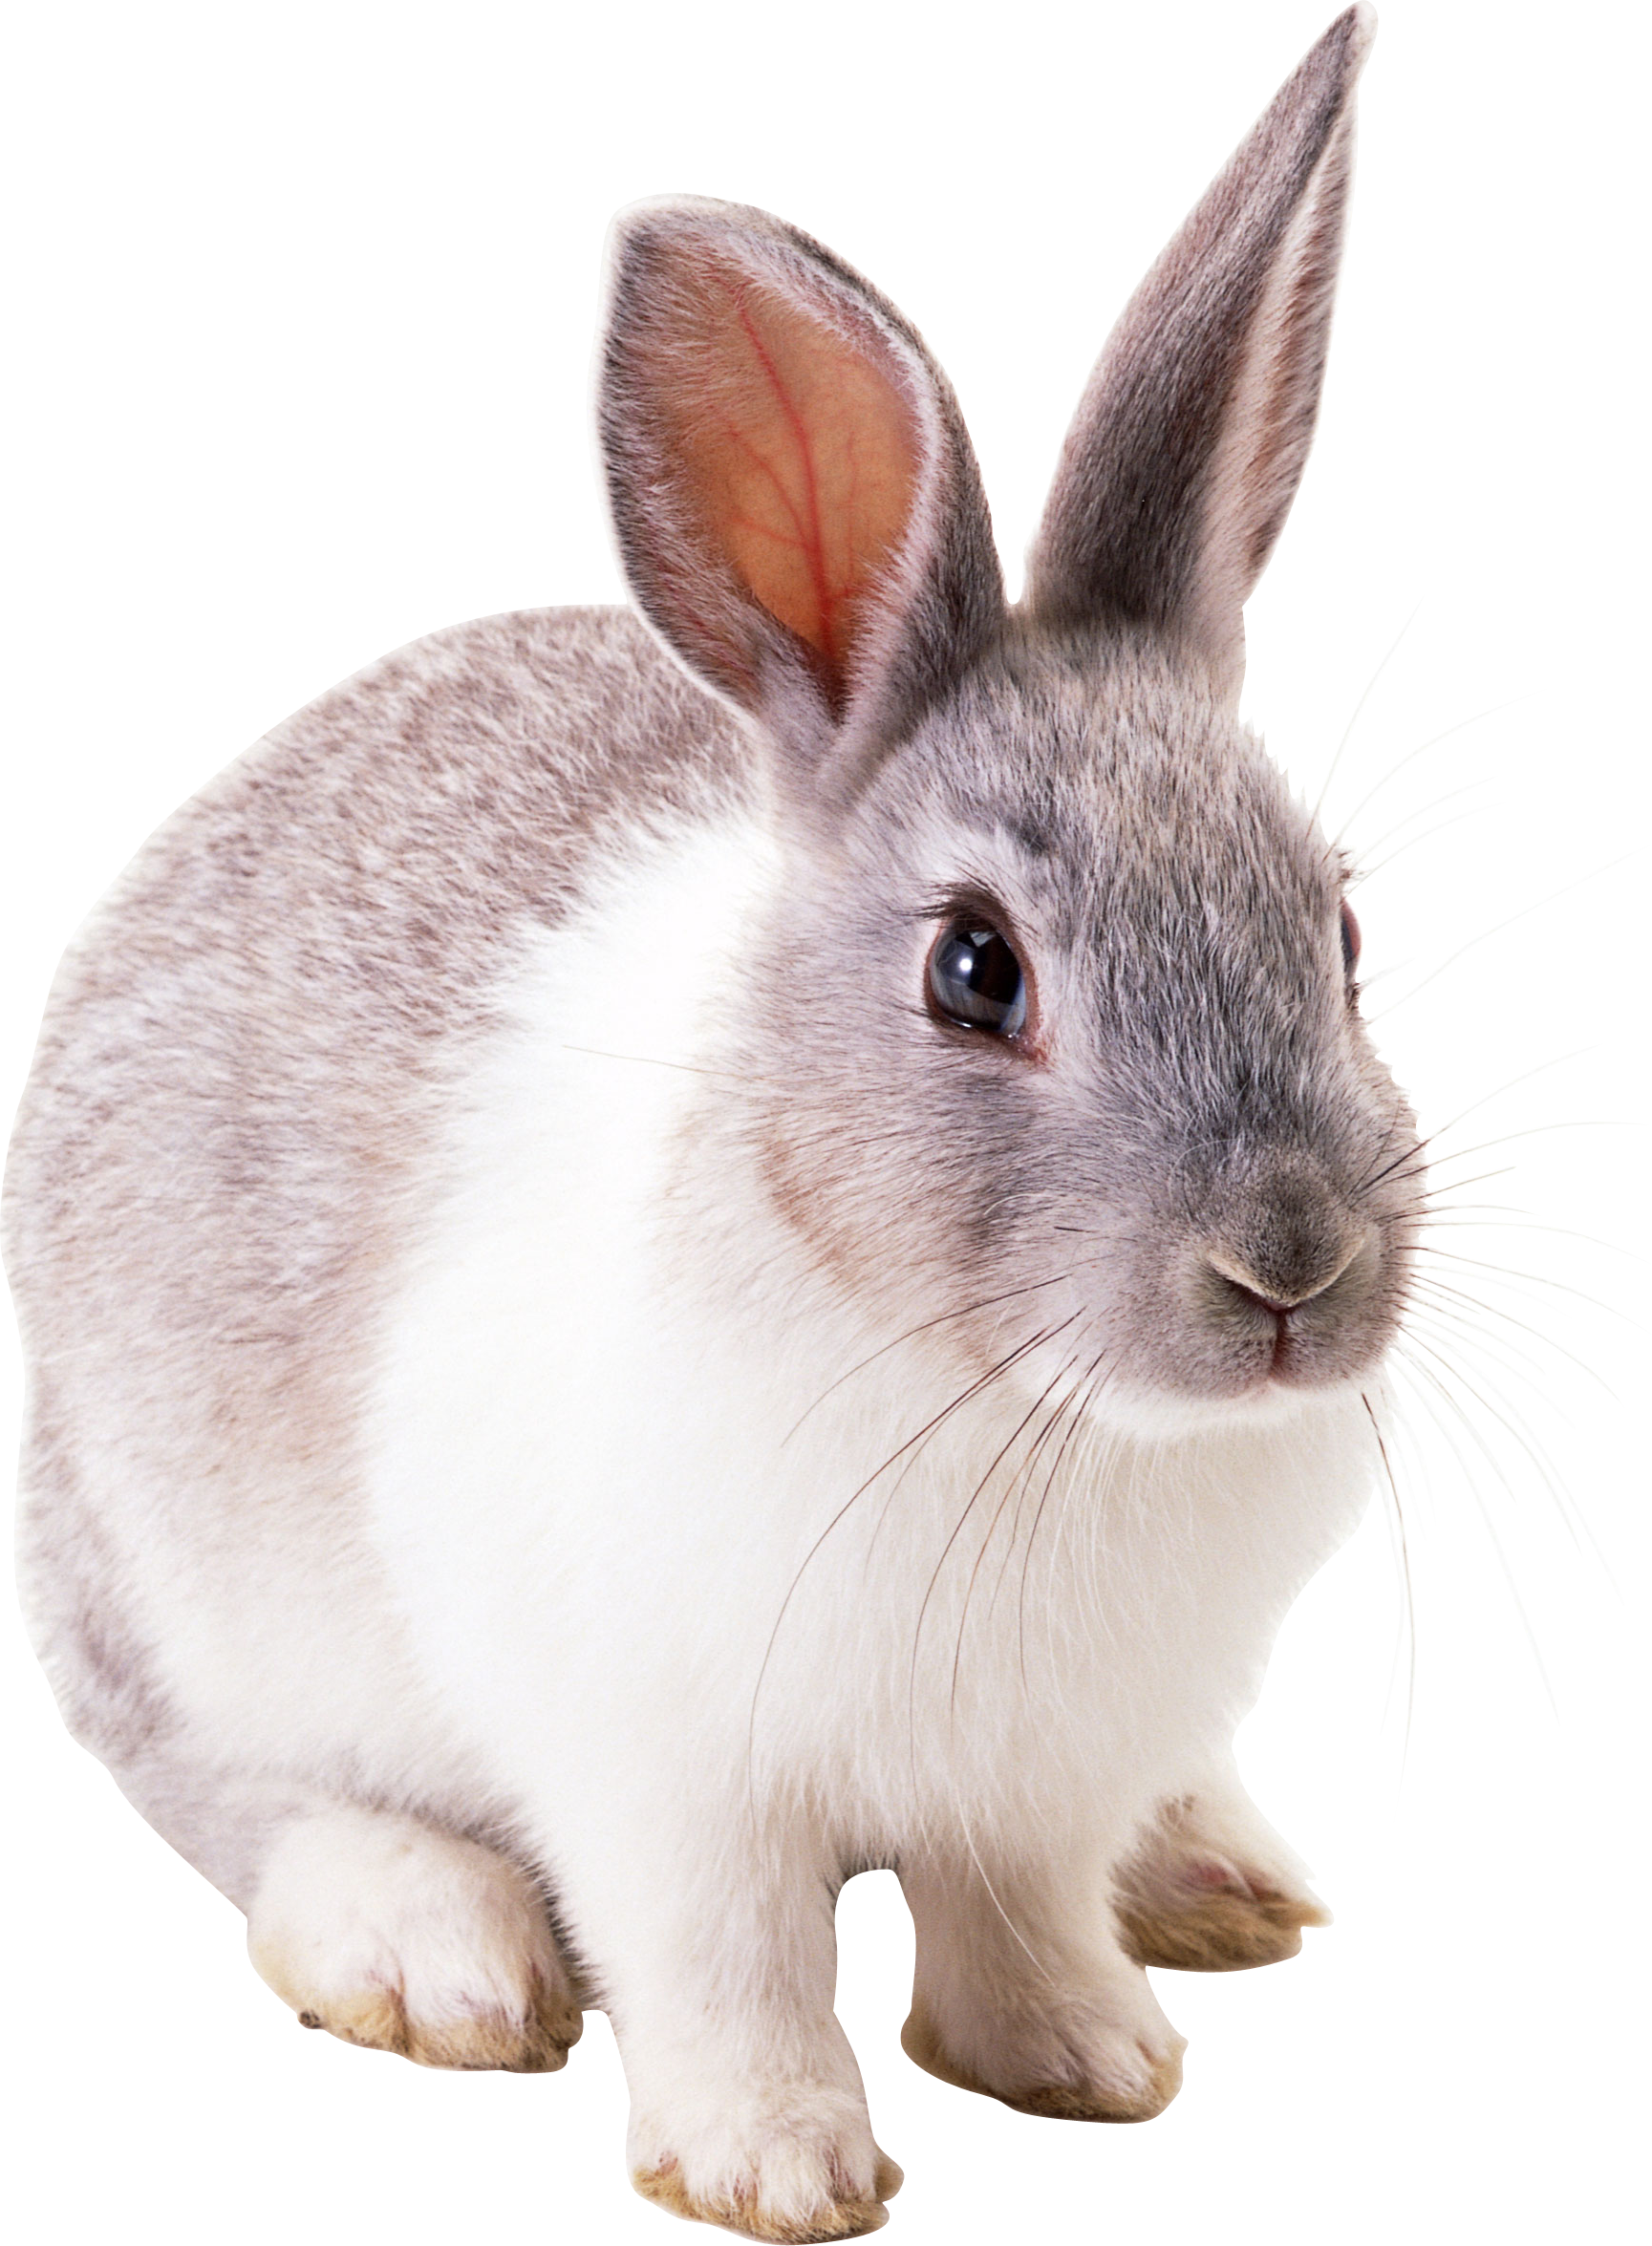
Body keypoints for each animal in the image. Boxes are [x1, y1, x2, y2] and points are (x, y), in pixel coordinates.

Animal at [10, 10, 1413, 2239]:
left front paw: (1081, 2057)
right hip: (181, 1601)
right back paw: (427, 1937)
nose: (1291, 1268)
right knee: (226, 1794)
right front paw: (771, 2158)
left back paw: (1207, 1870)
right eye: (972, 970)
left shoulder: (1038, 1773)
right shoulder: (656, 1763)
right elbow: (720, 1949)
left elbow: (1012, 1911)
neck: (1018, 1410)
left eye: (1342, 929)